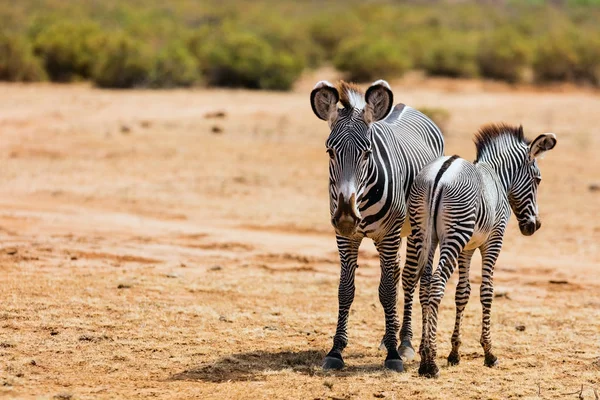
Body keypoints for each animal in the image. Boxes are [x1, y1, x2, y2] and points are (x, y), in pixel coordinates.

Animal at [310, 79, 446, 370]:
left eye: (367, 153)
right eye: (330, 151)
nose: (347, 216)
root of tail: (404, 106)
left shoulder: (389, 234)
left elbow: (387, 291)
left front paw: (394, 354)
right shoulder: (345, 237)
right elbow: (345, 290)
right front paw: (336, 350)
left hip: (415, 230)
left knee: (410, 278)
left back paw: (405, 342)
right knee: (395, 272)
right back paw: (389, 335)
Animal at [404, 122, 556, 378]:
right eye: (538, 180)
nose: (534, 226)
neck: (497, 177)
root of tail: (439, 176)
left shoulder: (467, 248)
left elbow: (462, 293)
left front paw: (454, 352)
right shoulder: (493, 241)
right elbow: (487, 292)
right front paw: (489, 353)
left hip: (423, 234)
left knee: (424, 286)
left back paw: (425, 354)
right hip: (454, 235)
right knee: (436, 285)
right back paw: (430, 363)